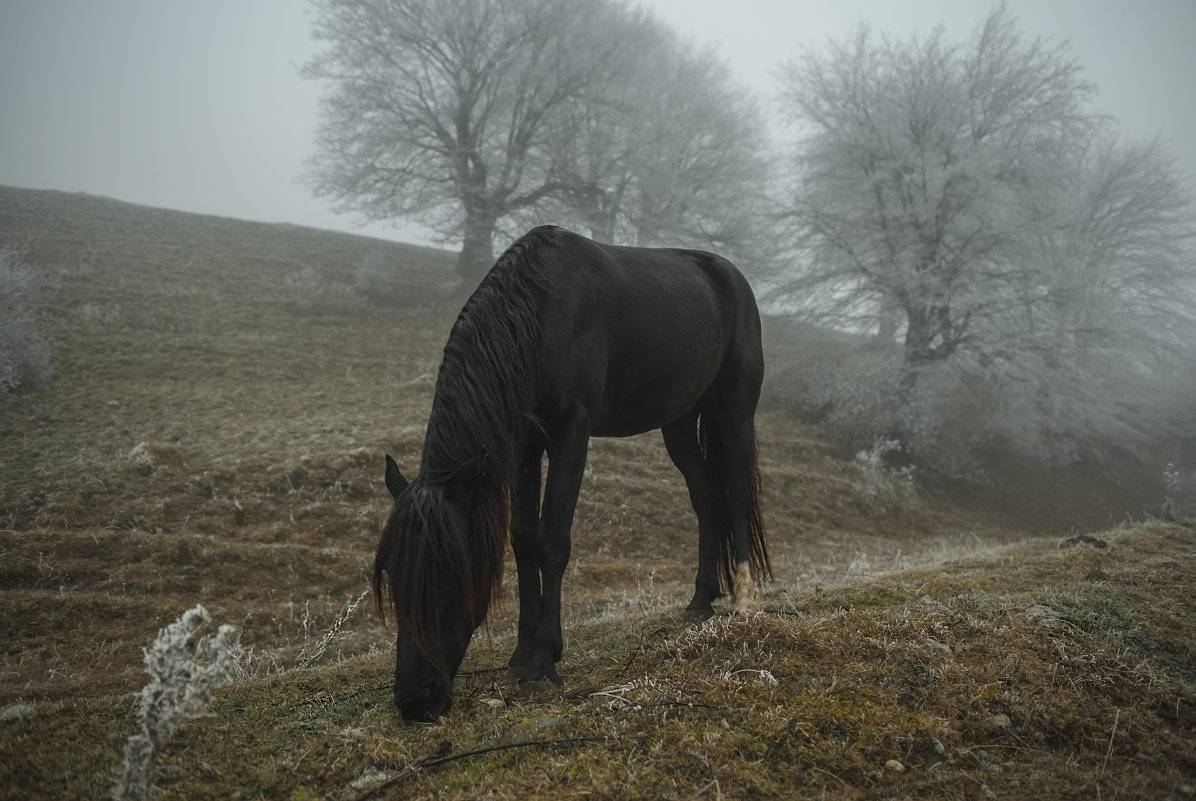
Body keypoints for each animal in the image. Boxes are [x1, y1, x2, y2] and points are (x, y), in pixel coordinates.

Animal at [370, 224, 765, 722]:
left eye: (447, 571)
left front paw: (545, 661)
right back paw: (700, 600)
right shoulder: (524, 443)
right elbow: (522, 541)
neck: (539, 318)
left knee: (734, 494)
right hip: (677, 420)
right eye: (392, 575)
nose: (413, 700)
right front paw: (521, 657)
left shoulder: (571, 432)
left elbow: (552, 541)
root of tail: (732, 276)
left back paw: (745, 600)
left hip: (735, 410)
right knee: (705, 495)